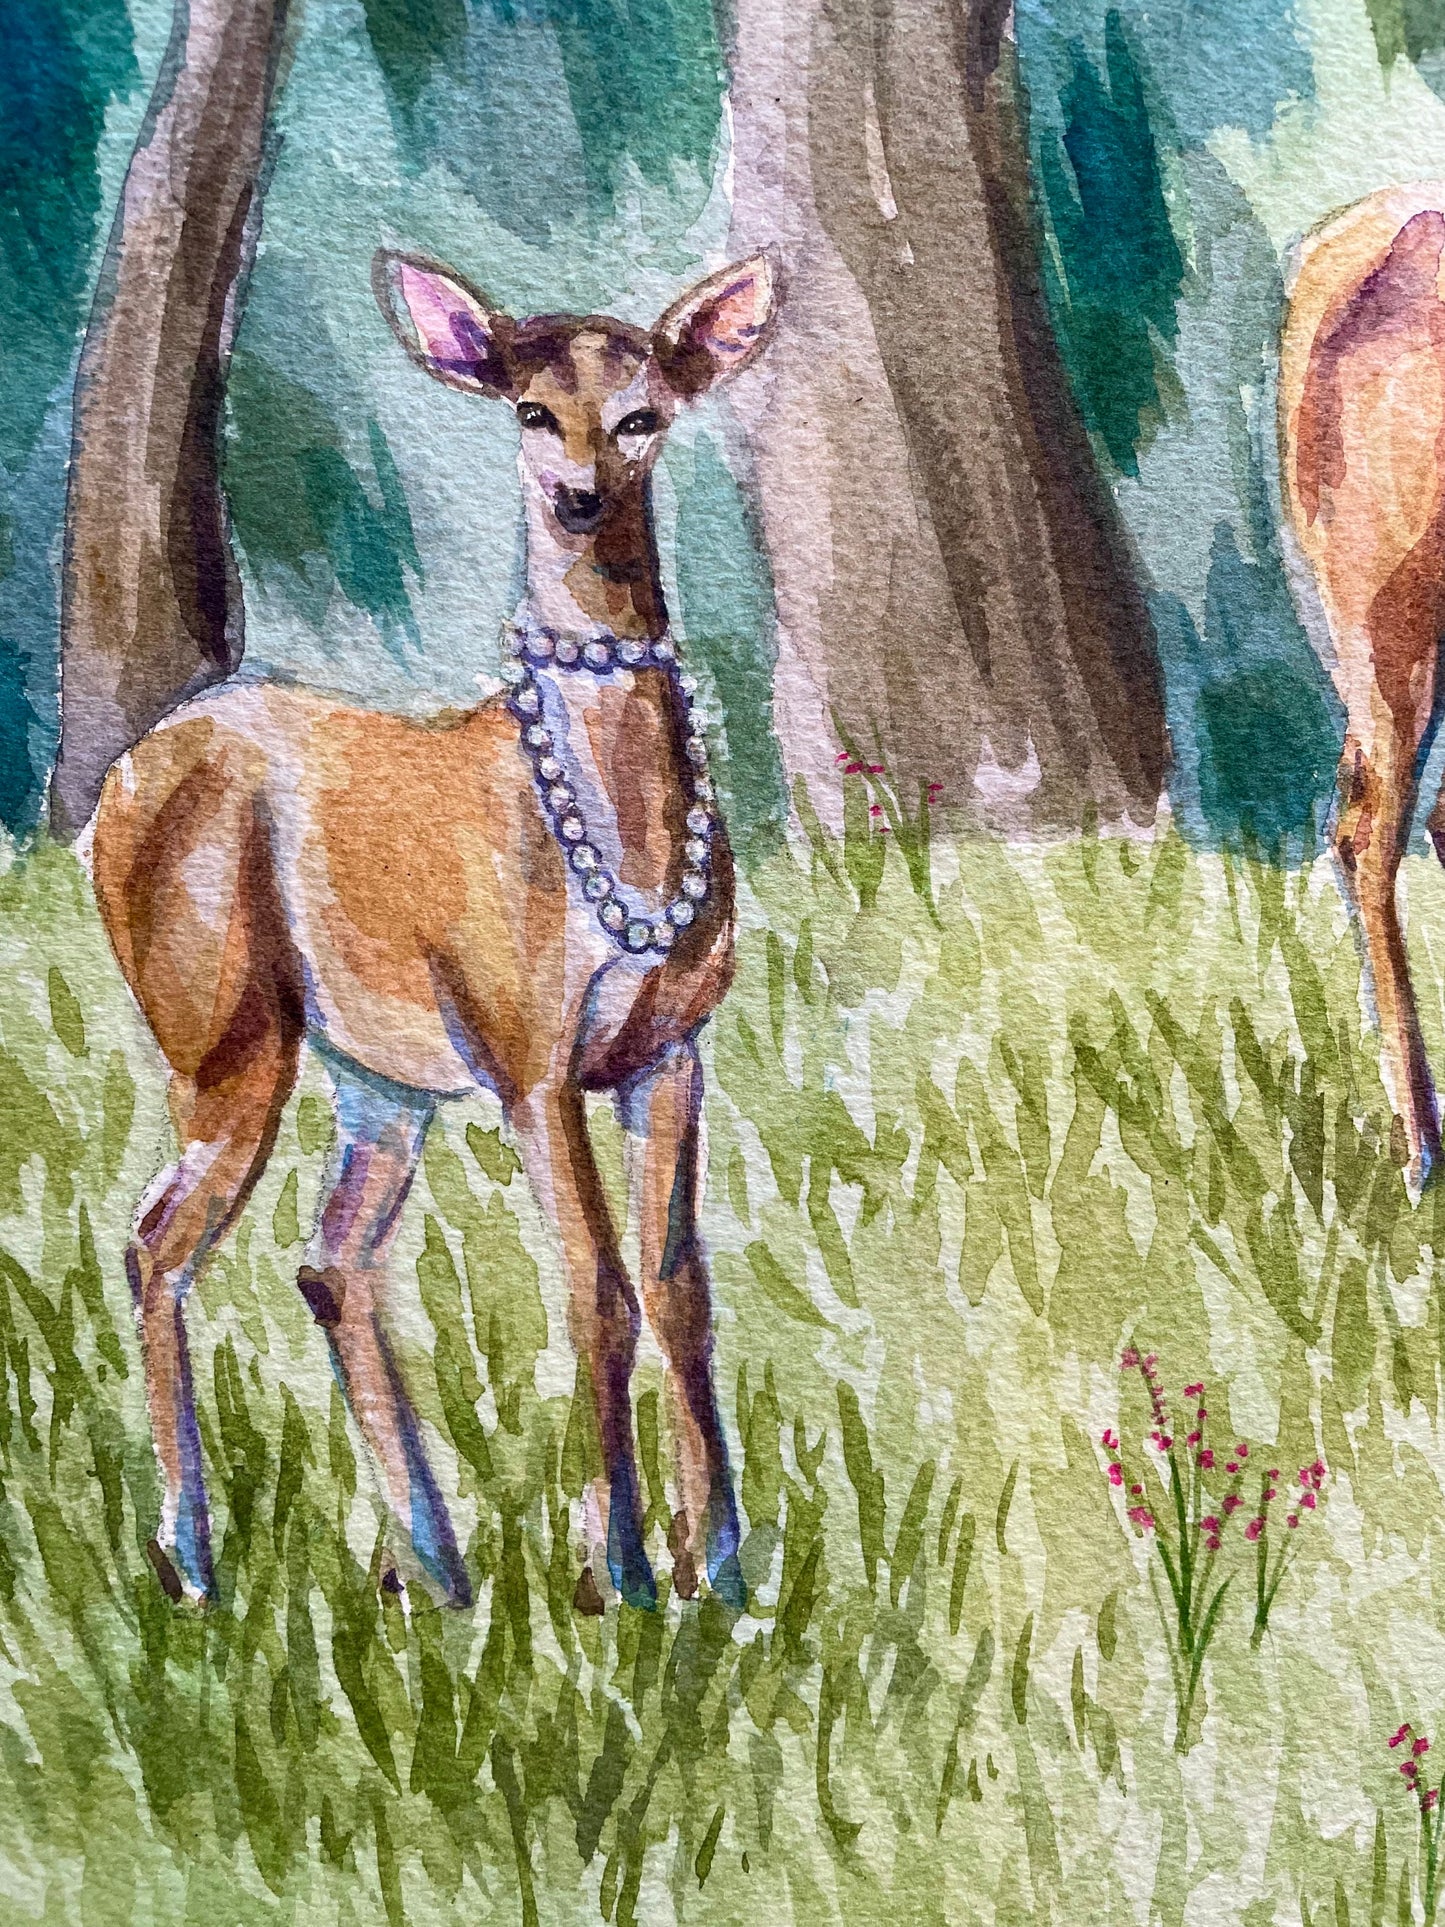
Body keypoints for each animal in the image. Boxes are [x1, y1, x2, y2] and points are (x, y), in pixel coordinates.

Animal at [87, 248, 780, 1613]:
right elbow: (596, 1287)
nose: (577, 496)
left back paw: (435, 1568)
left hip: (376, 1077)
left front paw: (722, 1575)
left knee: (330, 1257)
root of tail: (116, 786)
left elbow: (679, 1286)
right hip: (222, 1024)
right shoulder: (528, 1050)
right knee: (157, 1240)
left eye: (644, 414)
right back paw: (193, 1559)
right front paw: (622, 1576)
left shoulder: (672, 1046)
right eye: (529, 411)